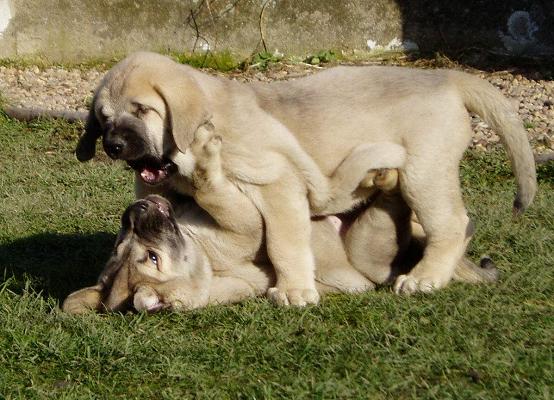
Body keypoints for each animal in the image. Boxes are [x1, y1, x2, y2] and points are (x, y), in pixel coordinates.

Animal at [63, 133, 496, 314]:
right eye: (152, 259)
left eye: (123, 245)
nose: (135, 213)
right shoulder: (243, 226)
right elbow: (217, 192)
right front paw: (203, 162)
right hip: (370, 250)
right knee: (396, 213)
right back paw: (386, 180)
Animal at [74, 50, 536, 300]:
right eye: (103, 118)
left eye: (142, 110)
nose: (114, 146)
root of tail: (447, 77)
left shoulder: (276, 184)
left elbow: (284, 243)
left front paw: (295, 290)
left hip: (425, 173)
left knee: (453, 224)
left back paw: (426, 278)